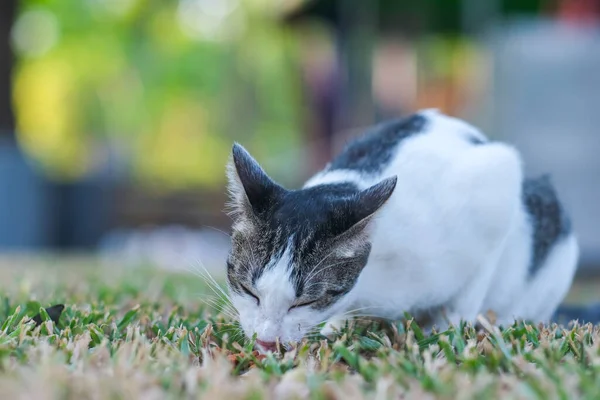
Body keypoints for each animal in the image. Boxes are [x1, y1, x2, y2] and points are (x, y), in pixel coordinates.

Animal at [224, 108, 576, 350]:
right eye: (247, 290)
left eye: (305, 302)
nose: (266, 340)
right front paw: (337, 326)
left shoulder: (497, 186)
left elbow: (468, 294)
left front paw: (448, 331)